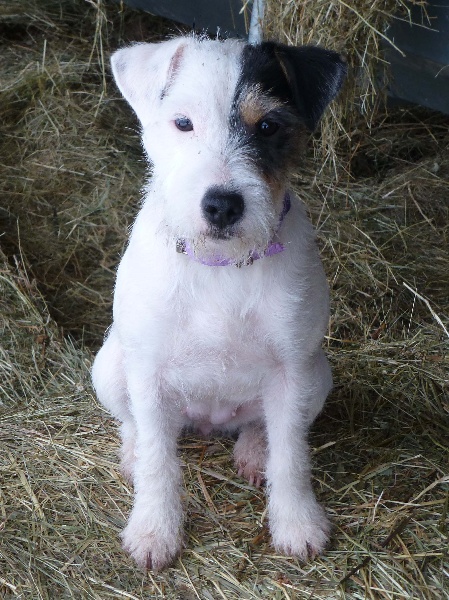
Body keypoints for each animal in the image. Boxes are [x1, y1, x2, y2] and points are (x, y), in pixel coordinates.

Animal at [90, 35, 344, 568]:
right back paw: (133, 453)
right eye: (183, 123)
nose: (222, 205)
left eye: (268, 126)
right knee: (138, 425)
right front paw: (154, 531)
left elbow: (292, 456)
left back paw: (252, 450)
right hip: (111, 367)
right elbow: (160, 462)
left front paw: (298, 524)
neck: (222, 266)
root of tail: (208, 423)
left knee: (263, 426)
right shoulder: (148, 368)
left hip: (318, 375)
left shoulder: (292, 368)